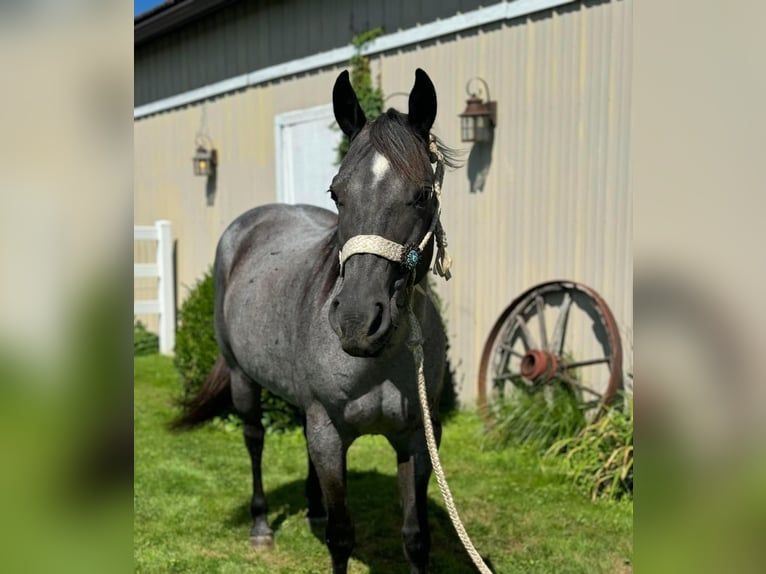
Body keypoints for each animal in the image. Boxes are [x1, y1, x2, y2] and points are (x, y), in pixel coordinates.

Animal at [174, 68, 460, 574]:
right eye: (336, 192)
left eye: (423, 193)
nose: (357, 321)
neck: (381, 363)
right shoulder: (329, 432)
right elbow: (342, 537)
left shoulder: (418, 440)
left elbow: (416, 538)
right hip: (243, 378)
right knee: (253, 438)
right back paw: (262, 527)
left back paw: (312, 509)